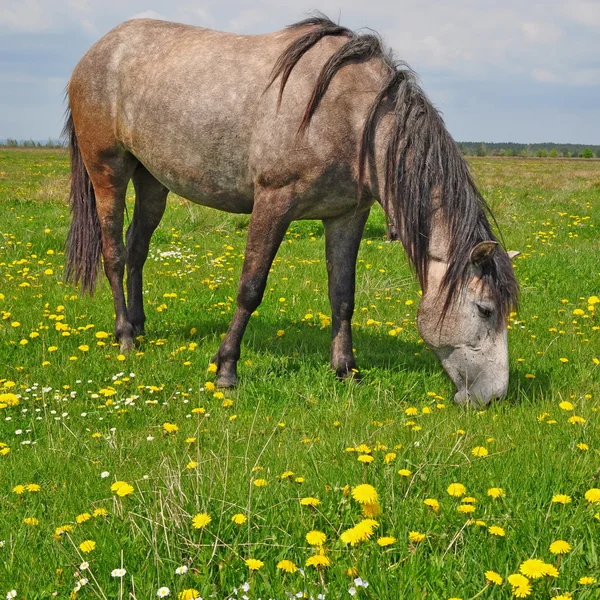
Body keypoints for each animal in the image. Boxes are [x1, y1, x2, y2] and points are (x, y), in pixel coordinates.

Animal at [63, 15, 516, 408]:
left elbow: (343, 295)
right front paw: (226, 369)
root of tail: (96, 51)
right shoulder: (273, 204)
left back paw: (140, 326)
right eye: (486, 310)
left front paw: (346, 370)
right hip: (108, 172)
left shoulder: (346, 216)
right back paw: (125, 336)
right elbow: (250, 288)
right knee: (115, 254)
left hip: (152, 181)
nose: (493, 397)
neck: (353, 117)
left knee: (138, 250)